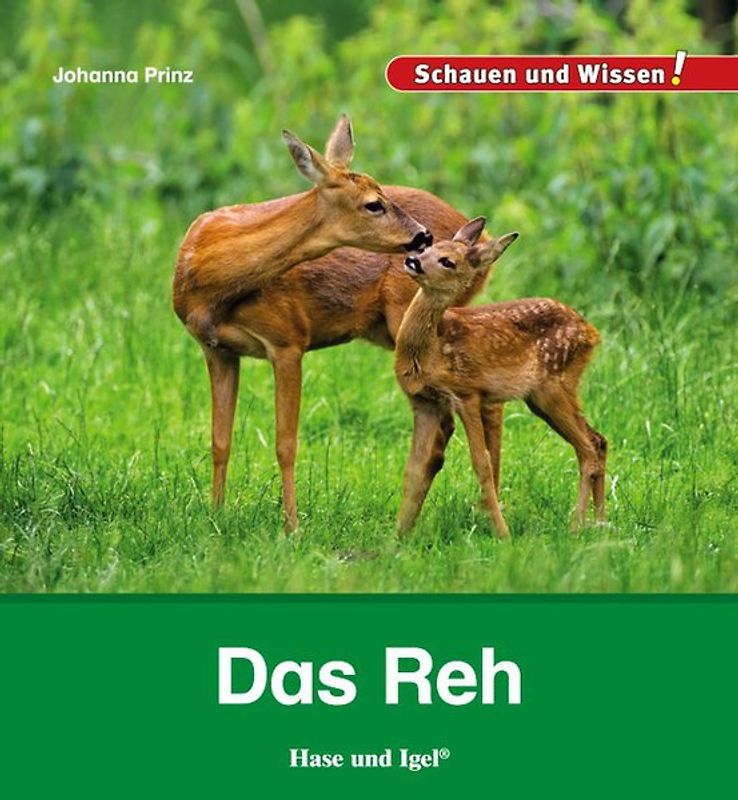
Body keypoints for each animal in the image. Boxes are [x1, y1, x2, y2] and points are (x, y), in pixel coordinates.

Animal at [395, 217, 607, 540]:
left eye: (448, 261)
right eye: (428, 247)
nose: (412, 260)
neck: (431, 349)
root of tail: (592, 333)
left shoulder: (467, 392)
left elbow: (482, 462)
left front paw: (502, 534)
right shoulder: (424, 402)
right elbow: (414, 470)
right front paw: (398, 536)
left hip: (553, 387)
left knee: (587, 450)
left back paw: (576, 527)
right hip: (544, 398)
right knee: (598, 440)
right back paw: (601, 522)